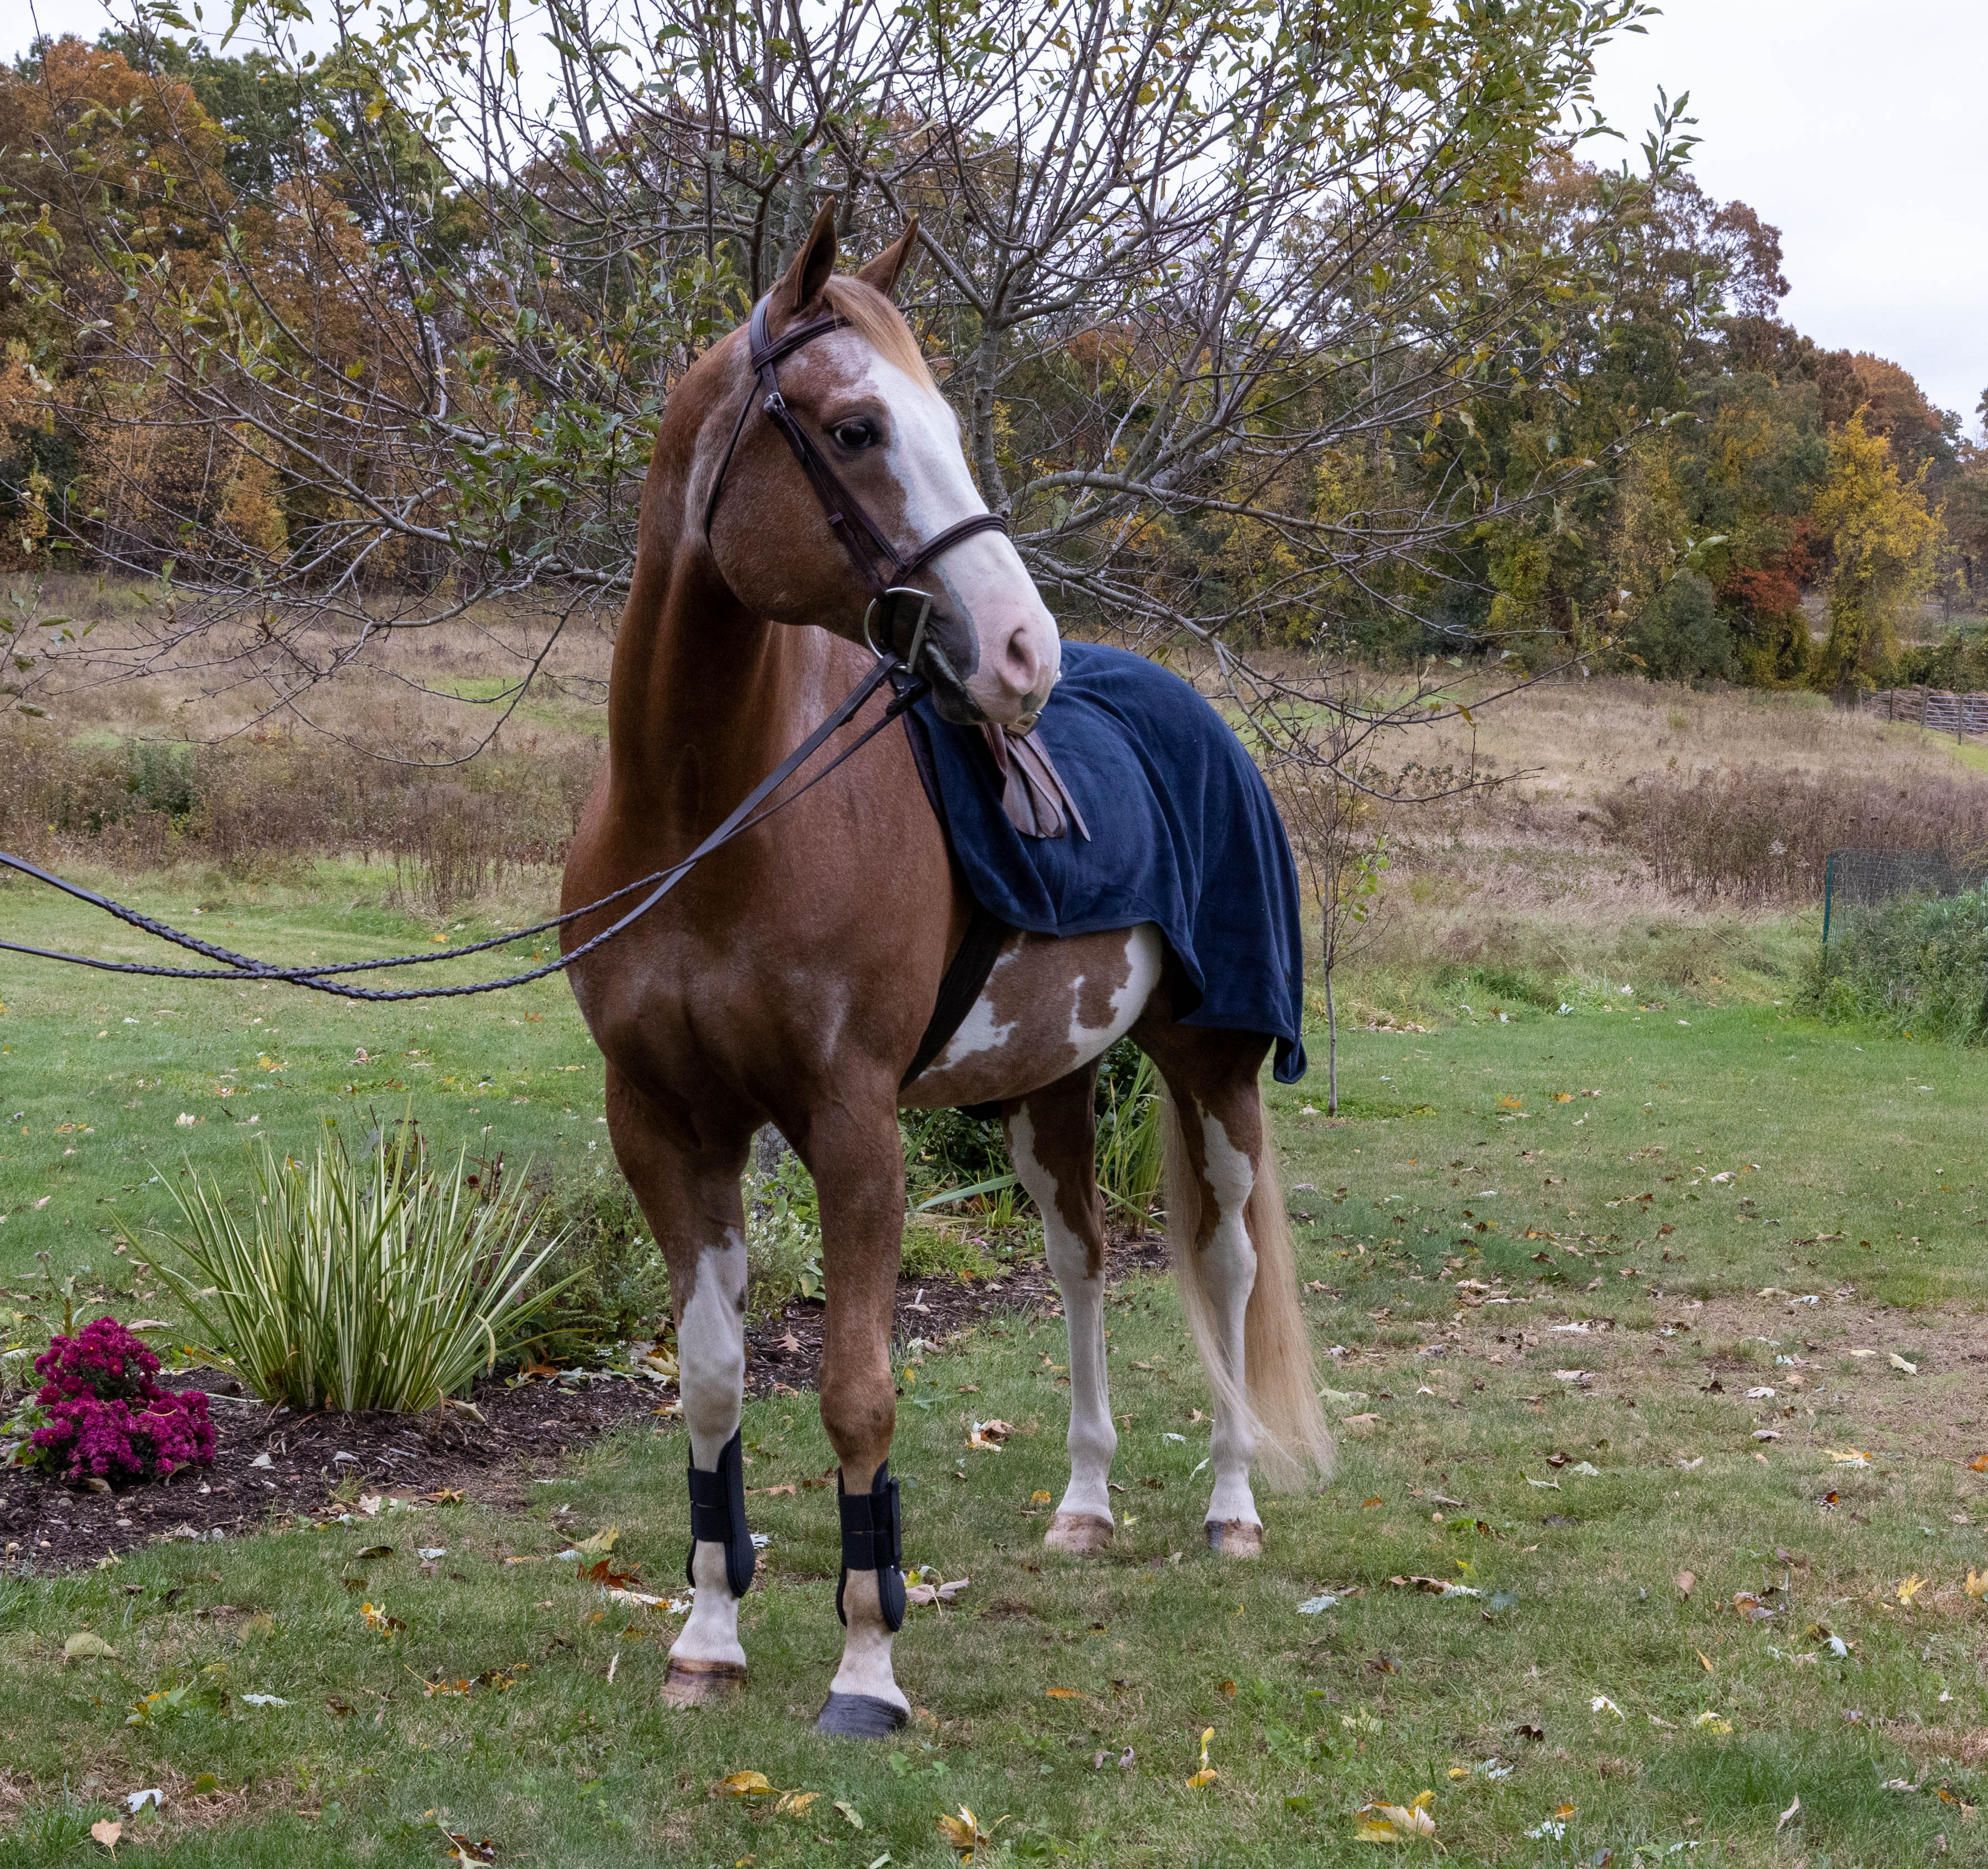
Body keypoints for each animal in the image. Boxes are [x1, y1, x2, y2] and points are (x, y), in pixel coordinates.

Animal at [564, 205, 1336, 1734]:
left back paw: (1230, 1507)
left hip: (1215, 1072)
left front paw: (867, 1666)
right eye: (856, 428)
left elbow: (858, 1391)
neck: (706, 818)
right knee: (1081, 1260)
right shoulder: (667, 1126)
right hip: (1046, 1087)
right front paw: (708, 1639)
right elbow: (710, 1387)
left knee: (1218, 1268)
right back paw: (1086, 1504)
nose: (1024, 652)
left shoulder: (853, 1127)